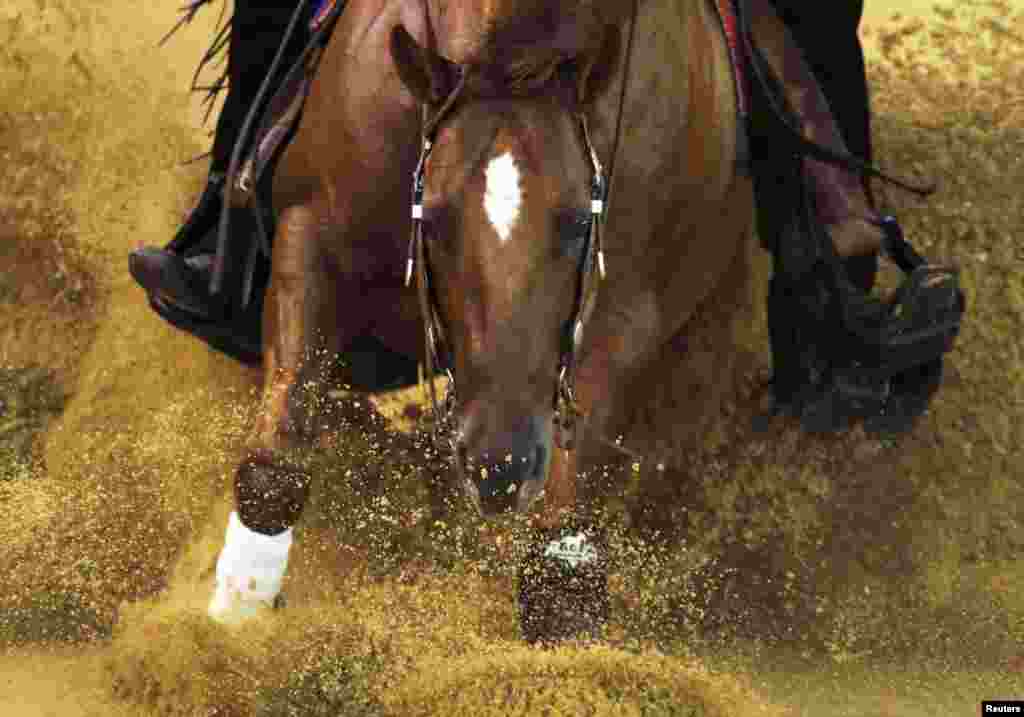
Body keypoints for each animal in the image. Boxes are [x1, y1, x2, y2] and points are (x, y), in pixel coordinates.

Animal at [214, 0, 761, 643]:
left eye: (580, 222)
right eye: (433, 218)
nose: (501, 463)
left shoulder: (623, 312)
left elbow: (561, 577)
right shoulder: (312, 233)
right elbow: (272, 472)